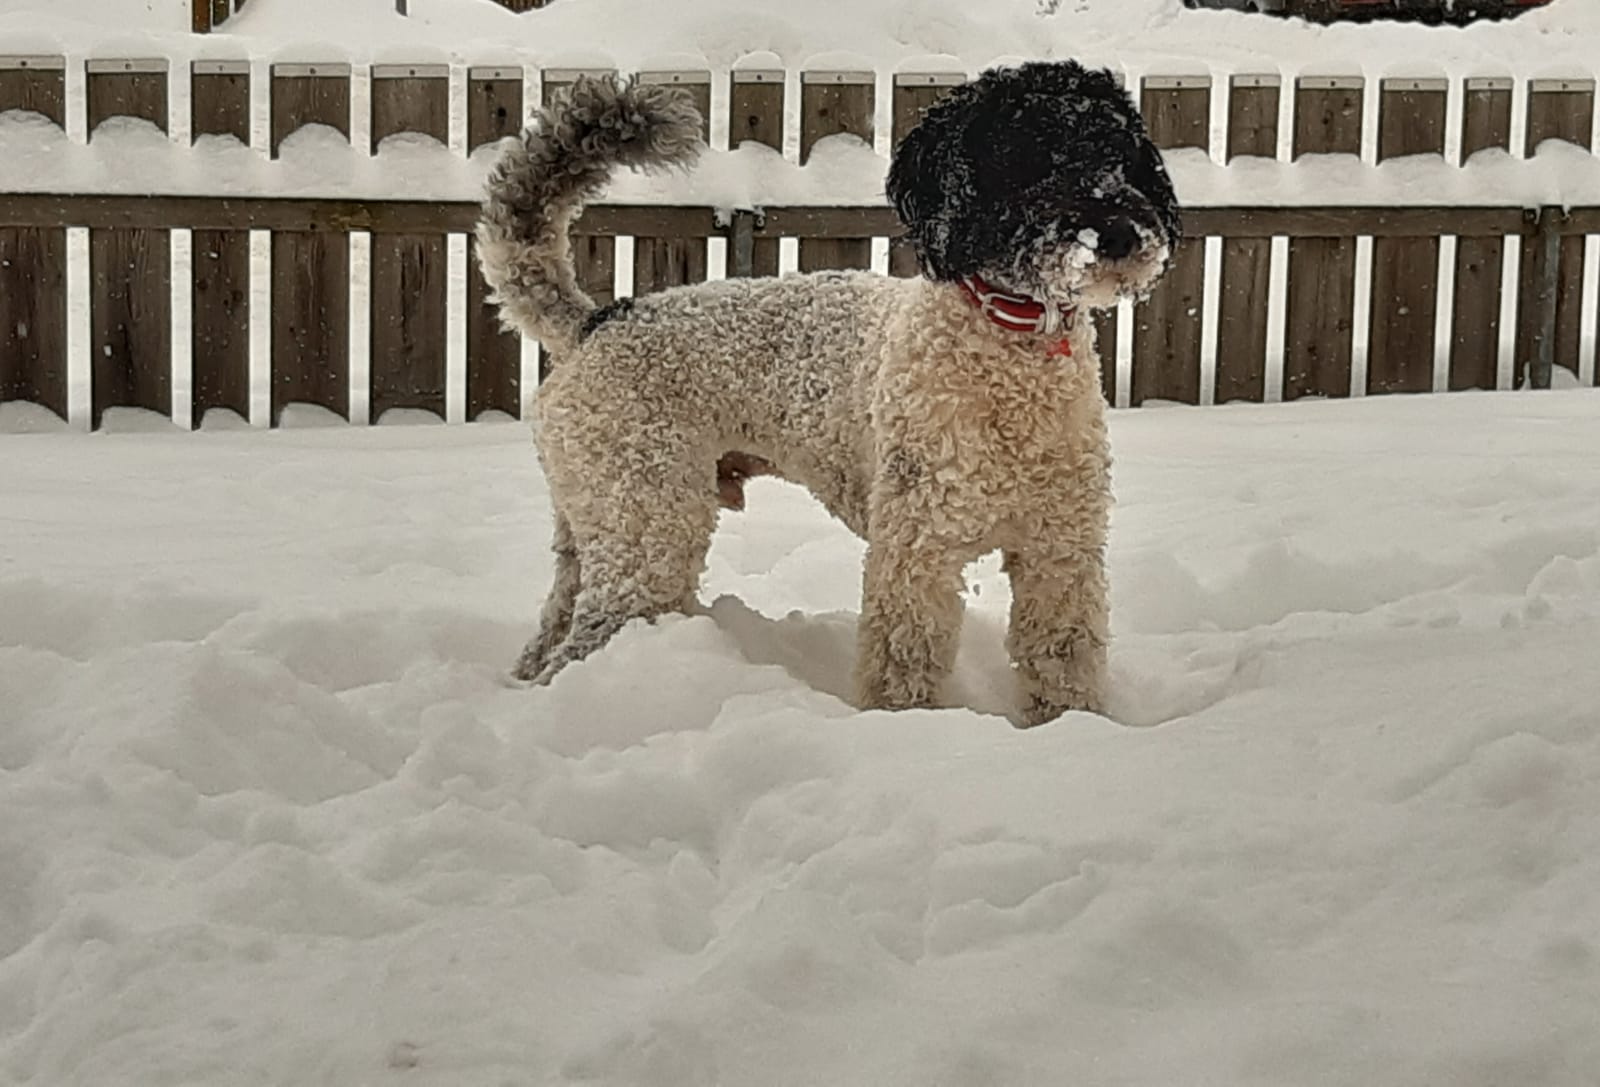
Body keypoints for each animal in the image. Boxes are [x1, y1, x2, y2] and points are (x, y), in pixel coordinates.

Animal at [473, 57, 1177, 723]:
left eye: (1120, 153)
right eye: (1030, 158)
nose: (1120, 233)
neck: (1011, 361)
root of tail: (596, 320)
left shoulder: (1061, 551)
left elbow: (1063, 661)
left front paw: (1070, 728)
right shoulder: (915, 550)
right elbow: (902, 666)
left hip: (594, 525)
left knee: (548, 635)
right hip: (648, 529)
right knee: (579, 644)